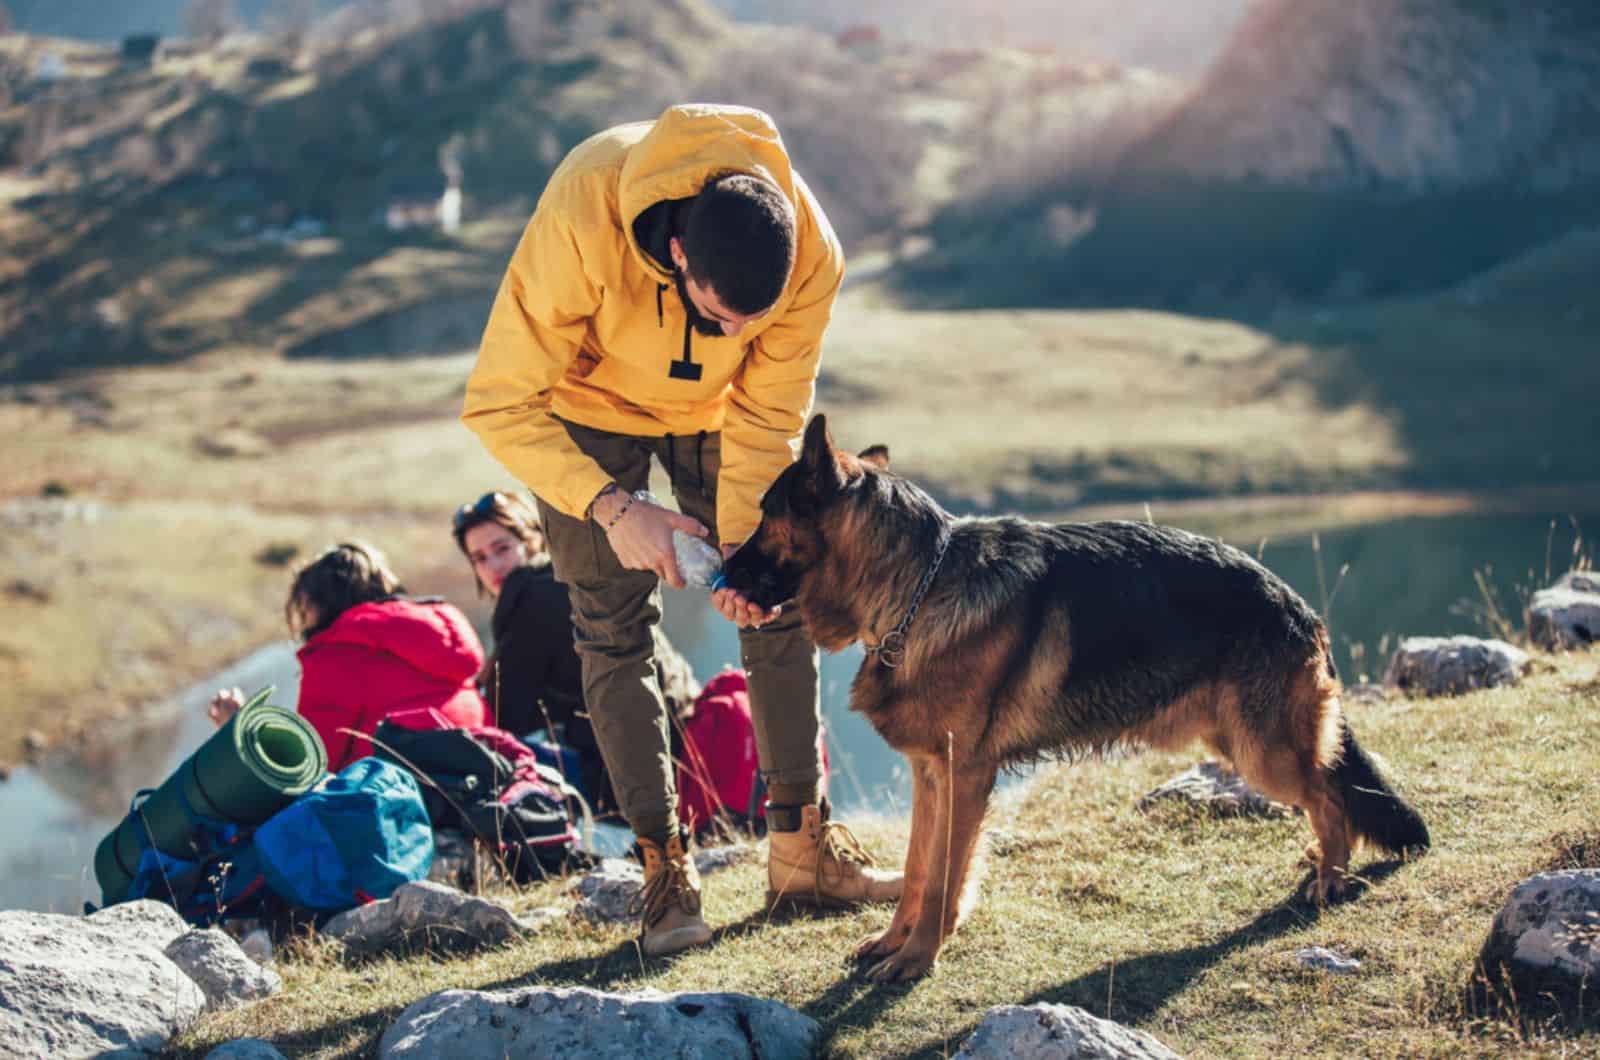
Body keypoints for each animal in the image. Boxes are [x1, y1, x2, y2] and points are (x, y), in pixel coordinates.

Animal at [720, 419, 1433, 986]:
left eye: (764, 513)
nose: (721, 573)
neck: (916, 586)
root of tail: (1297, 605)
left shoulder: (965, 776)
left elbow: (946, 877)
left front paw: (918, 959)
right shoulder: (931, 774)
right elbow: (920, 870)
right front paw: (895, 943)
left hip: (1263, 753)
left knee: (1330, 795)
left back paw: (1330, 877)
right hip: (1242, 743)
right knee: (1329, 791)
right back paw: (1322, 866)